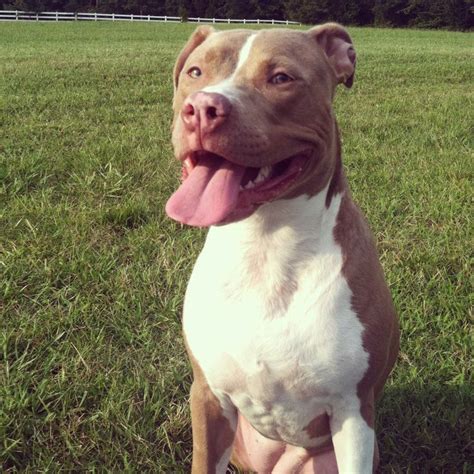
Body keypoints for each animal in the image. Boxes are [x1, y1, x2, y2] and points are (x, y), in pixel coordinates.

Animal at [167, 24, 400, 472]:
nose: (201, 108)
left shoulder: (353, 411)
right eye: (195, 71)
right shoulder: (208, 398)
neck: (265, 245)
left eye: (280, 78)